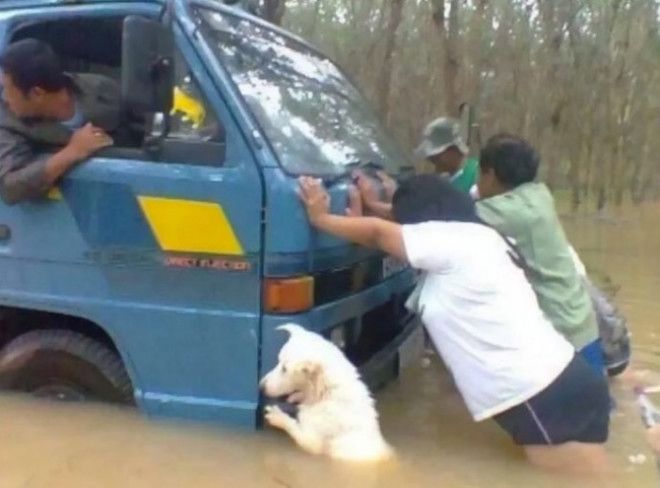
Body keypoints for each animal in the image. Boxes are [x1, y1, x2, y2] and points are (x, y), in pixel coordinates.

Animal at [258, 324, 392, 462]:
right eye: (278, 362)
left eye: (284, 369)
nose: (261, 387)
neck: (329, 394)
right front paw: (295, 397)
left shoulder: (312, 441)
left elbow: (293, 426)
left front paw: (278, 417)